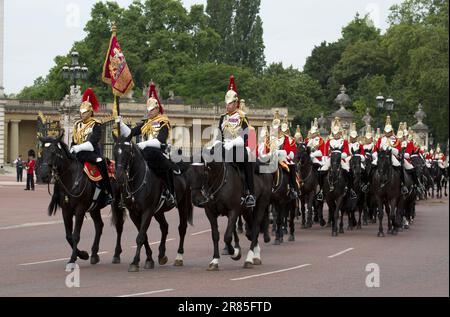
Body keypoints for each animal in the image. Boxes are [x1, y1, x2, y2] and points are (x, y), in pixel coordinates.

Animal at [38, 133, 123, 270]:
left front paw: (73, 259)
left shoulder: (80, 210)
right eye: (42, 151)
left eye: (53, 152)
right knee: (99, 226)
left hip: (118, 204)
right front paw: (83, 254)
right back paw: (94, 254)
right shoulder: (66, 210)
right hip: (95, 208)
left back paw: (116, 254)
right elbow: (69, 236)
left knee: (119, 226)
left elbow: (76, 235)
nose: (43, 175)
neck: (71, 179)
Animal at [112, 135, 193, 270]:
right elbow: (143, 235)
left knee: (182, 228)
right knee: (164, 227)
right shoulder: (134, 213)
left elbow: (140, 236)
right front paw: (149, 259)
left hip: (183, 203)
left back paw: (179, 257)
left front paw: (135, 262)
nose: (119, 176)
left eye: (127, 151)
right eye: (114, 151)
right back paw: (161, 255)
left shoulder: (147, 211)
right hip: (158, 211)